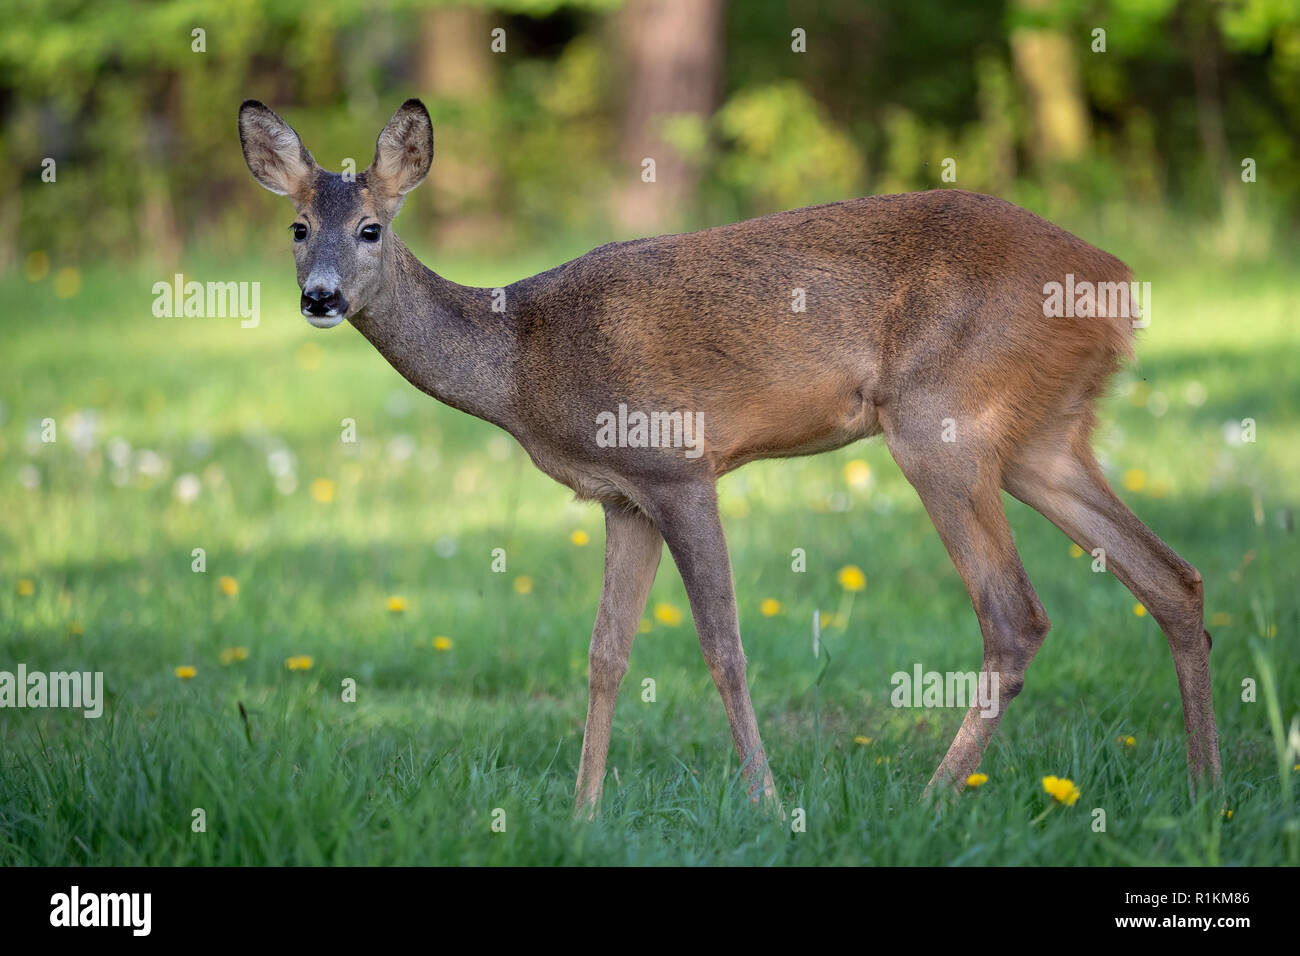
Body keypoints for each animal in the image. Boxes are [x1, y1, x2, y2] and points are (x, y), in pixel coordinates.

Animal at [238, 98, 1221, 814]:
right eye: (296, 228)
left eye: (371, 227)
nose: (320, 297)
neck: (523, 361)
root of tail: (1117, 287)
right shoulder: (622, 497)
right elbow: (605, 654)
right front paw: (583, 813)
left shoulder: (679, 466)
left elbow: (724, 646)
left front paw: (766, 804)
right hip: (1042, 439)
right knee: (1173, 578)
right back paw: (1206, 792)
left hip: (943, 421)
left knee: (1016, 616)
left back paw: (929, 799)